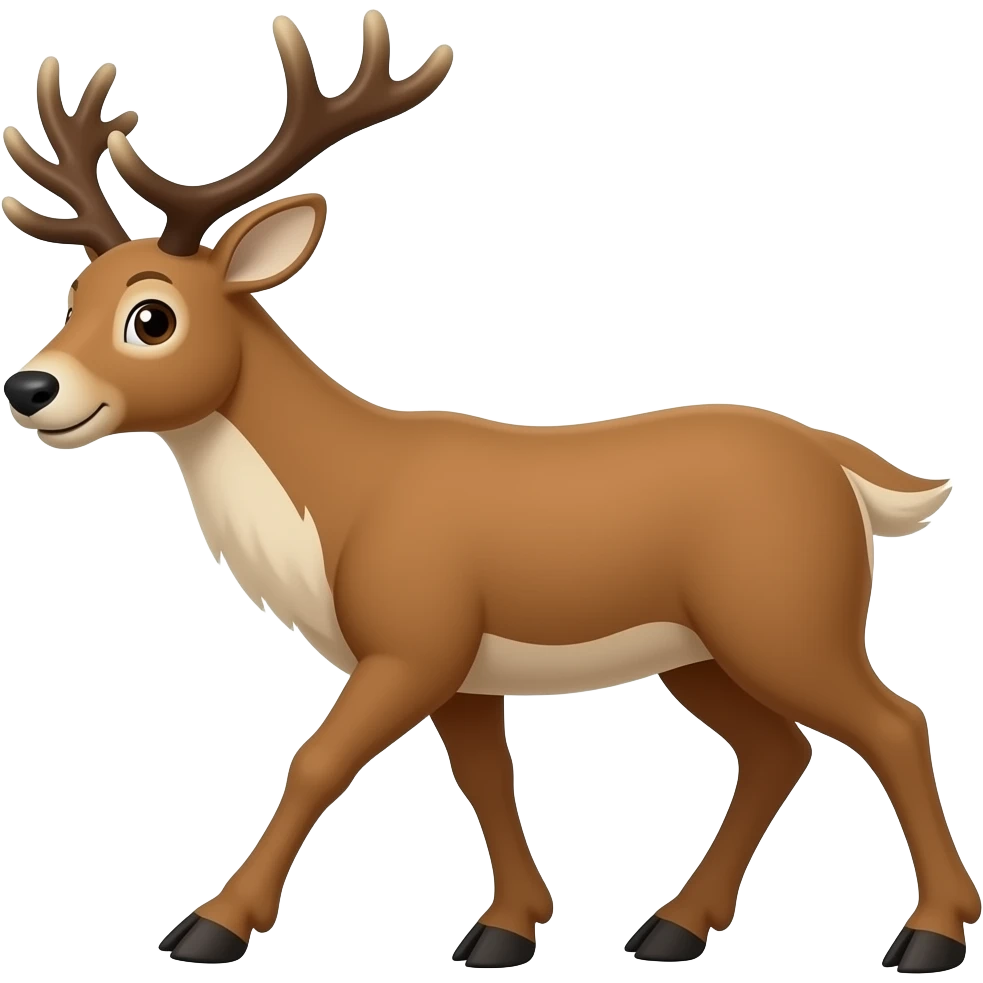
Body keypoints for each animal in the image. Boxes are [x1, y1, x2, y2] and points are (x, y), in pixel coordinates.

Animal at [1, 10, 979, 974]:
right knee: (780, 747)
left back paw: (930, 932)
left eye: (152, 316)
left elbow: (314, 759)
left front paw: (211, 925)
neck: (338, 502)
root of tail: (837, 462)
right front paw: (507, 927)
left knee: (894, 721)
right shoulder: (460, 668)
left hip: (785, 612)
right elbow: (483, 777)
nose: (29, 387)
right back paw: (673, 926)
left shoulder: (413, 636)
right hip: (700, 646)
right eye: (73, 293)